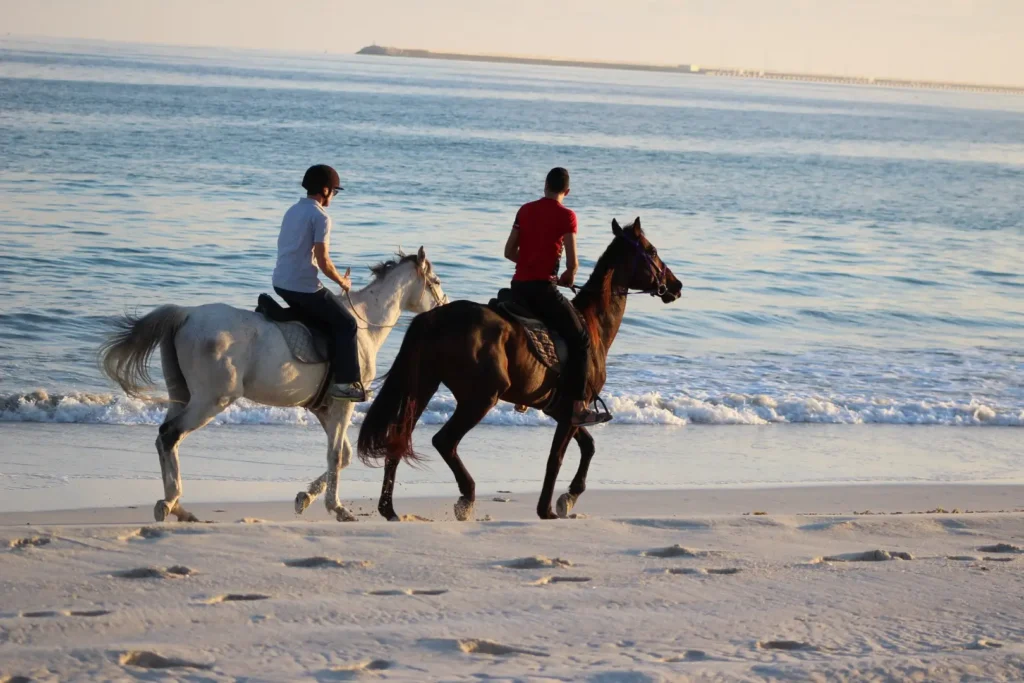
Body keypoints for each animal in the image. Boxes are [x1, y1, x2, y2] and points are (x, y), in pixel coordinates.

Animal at [100, 248, 447, 523]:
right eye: (437, 281)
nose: (445, 307)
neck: (363, 324)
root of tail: (185, 315)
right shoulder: (342, 404)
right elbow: (336, 456)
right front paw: (336, 508)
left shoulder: (325, 409)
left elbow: (343, 456)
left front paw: (304, 499)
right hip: (210, 401)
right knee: (169, 435)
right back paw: (171, 503)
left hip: (182, 396)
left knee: (167, 439)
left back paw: (179, 508)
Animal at [357, 218, 682, 521]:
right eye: (653, 250)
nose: (676, 286)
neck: (593, 323)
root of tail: (432, 318)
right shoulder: (572, 411)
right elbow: (556, 458)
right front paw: (548, 507)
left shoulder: (565, 410)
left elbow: (587, 447)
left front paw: (569, 497)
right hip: (480, 398)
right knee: (444, 441)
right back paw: (466, 497)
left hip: (422, 388)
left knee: (398, 440)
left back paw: (389, 509)